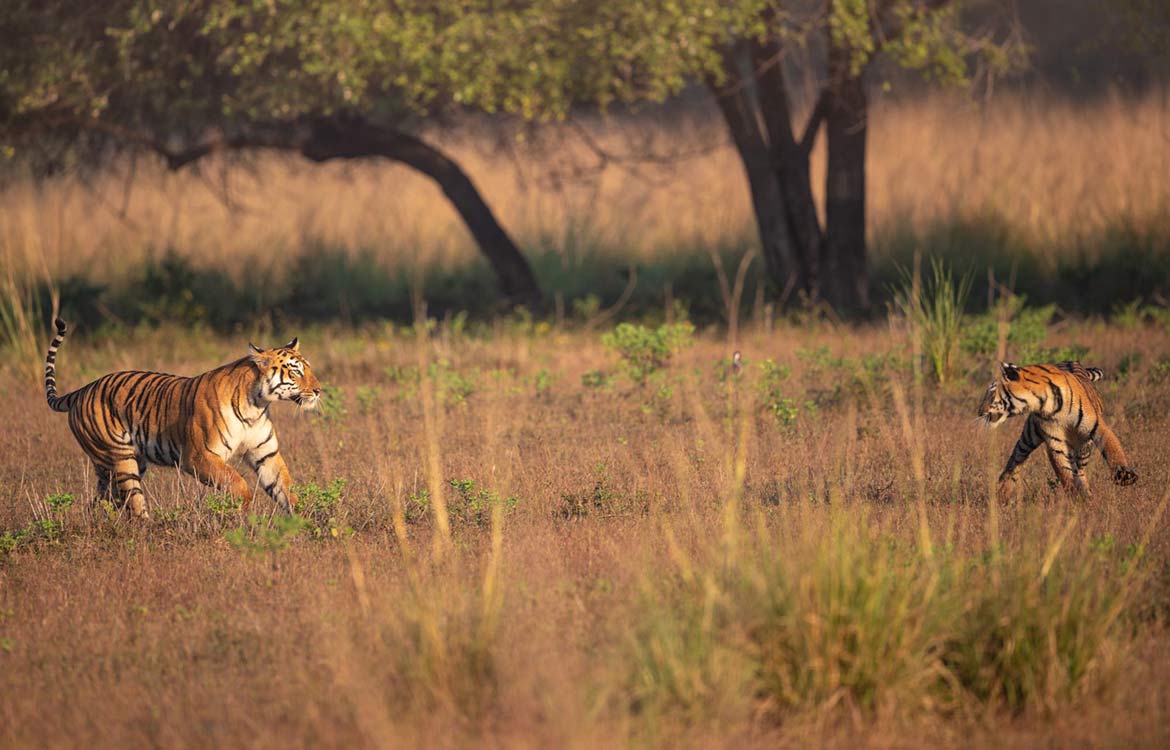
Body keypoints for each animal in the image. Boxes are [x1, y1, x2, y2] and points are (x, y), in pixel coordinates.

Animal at [43, 318, 320, 519]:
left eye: (308, 368)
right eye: (295, 372)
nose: (318, 390)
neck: (257, 404)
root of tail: (82, 390)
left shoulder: (266, 453)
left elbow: (286, 488)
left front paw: (303, 521)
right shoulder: (198, 457)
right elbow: (238, 484)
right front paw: (239, 516)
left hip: (117, 466)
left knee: (100, 502)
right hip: (121, 461)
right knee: (134, 505)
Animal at [973, 360, 1137, 493]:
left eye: (992, 392)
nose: (979, 411)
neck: (1043, 401)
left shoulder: (1096, 425)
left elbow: (1112, 449)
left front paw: (1124, 476)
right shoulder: (1054, 439)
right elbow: (1063, 470)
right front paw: (1074, 493)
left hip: (1083, 446)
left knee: (1081, 469)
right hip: (1029, 437)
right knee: (1014, 461)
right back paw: (1001, 493)